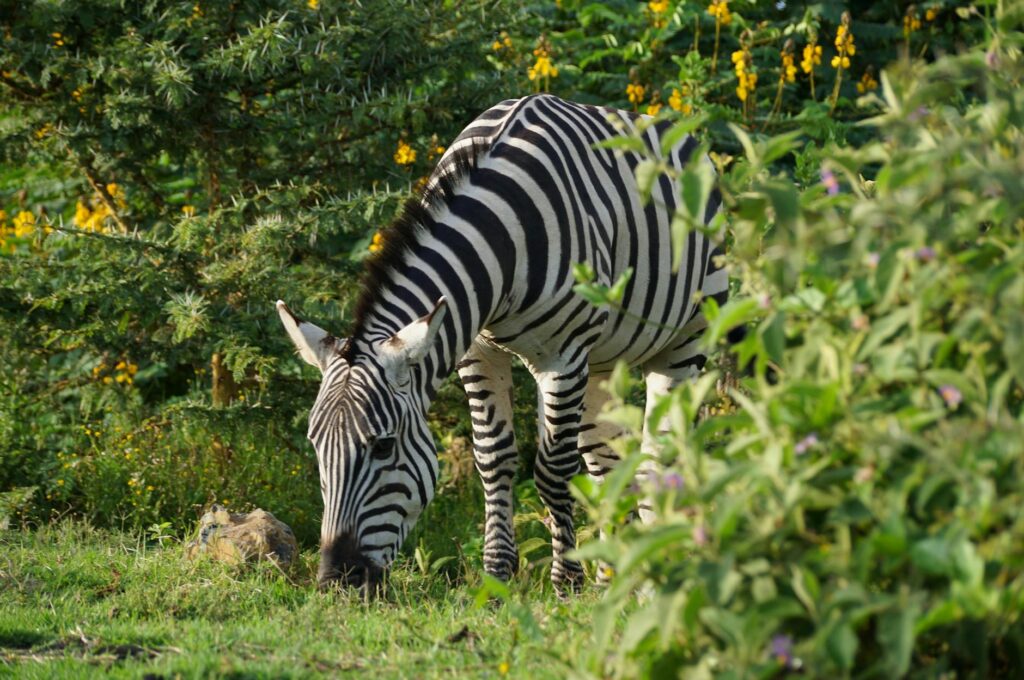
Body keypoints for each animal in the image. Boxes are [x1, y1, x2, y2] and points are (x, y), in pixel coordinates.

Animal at [278, 93, 729, 593]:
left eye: (383, 447)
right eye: (317, 446)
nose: (336, 581)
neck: (502, 234)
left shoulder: (563, 356)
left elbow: (553, 469)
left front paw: (567, 581)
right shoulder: (477, 350)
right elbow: (493, 457)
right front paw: (497, 575)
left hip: (685, 341)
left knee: (657, 456)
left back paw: (658, 572)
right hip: (603, 362)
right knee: (607, 460)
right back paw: (615, 577)